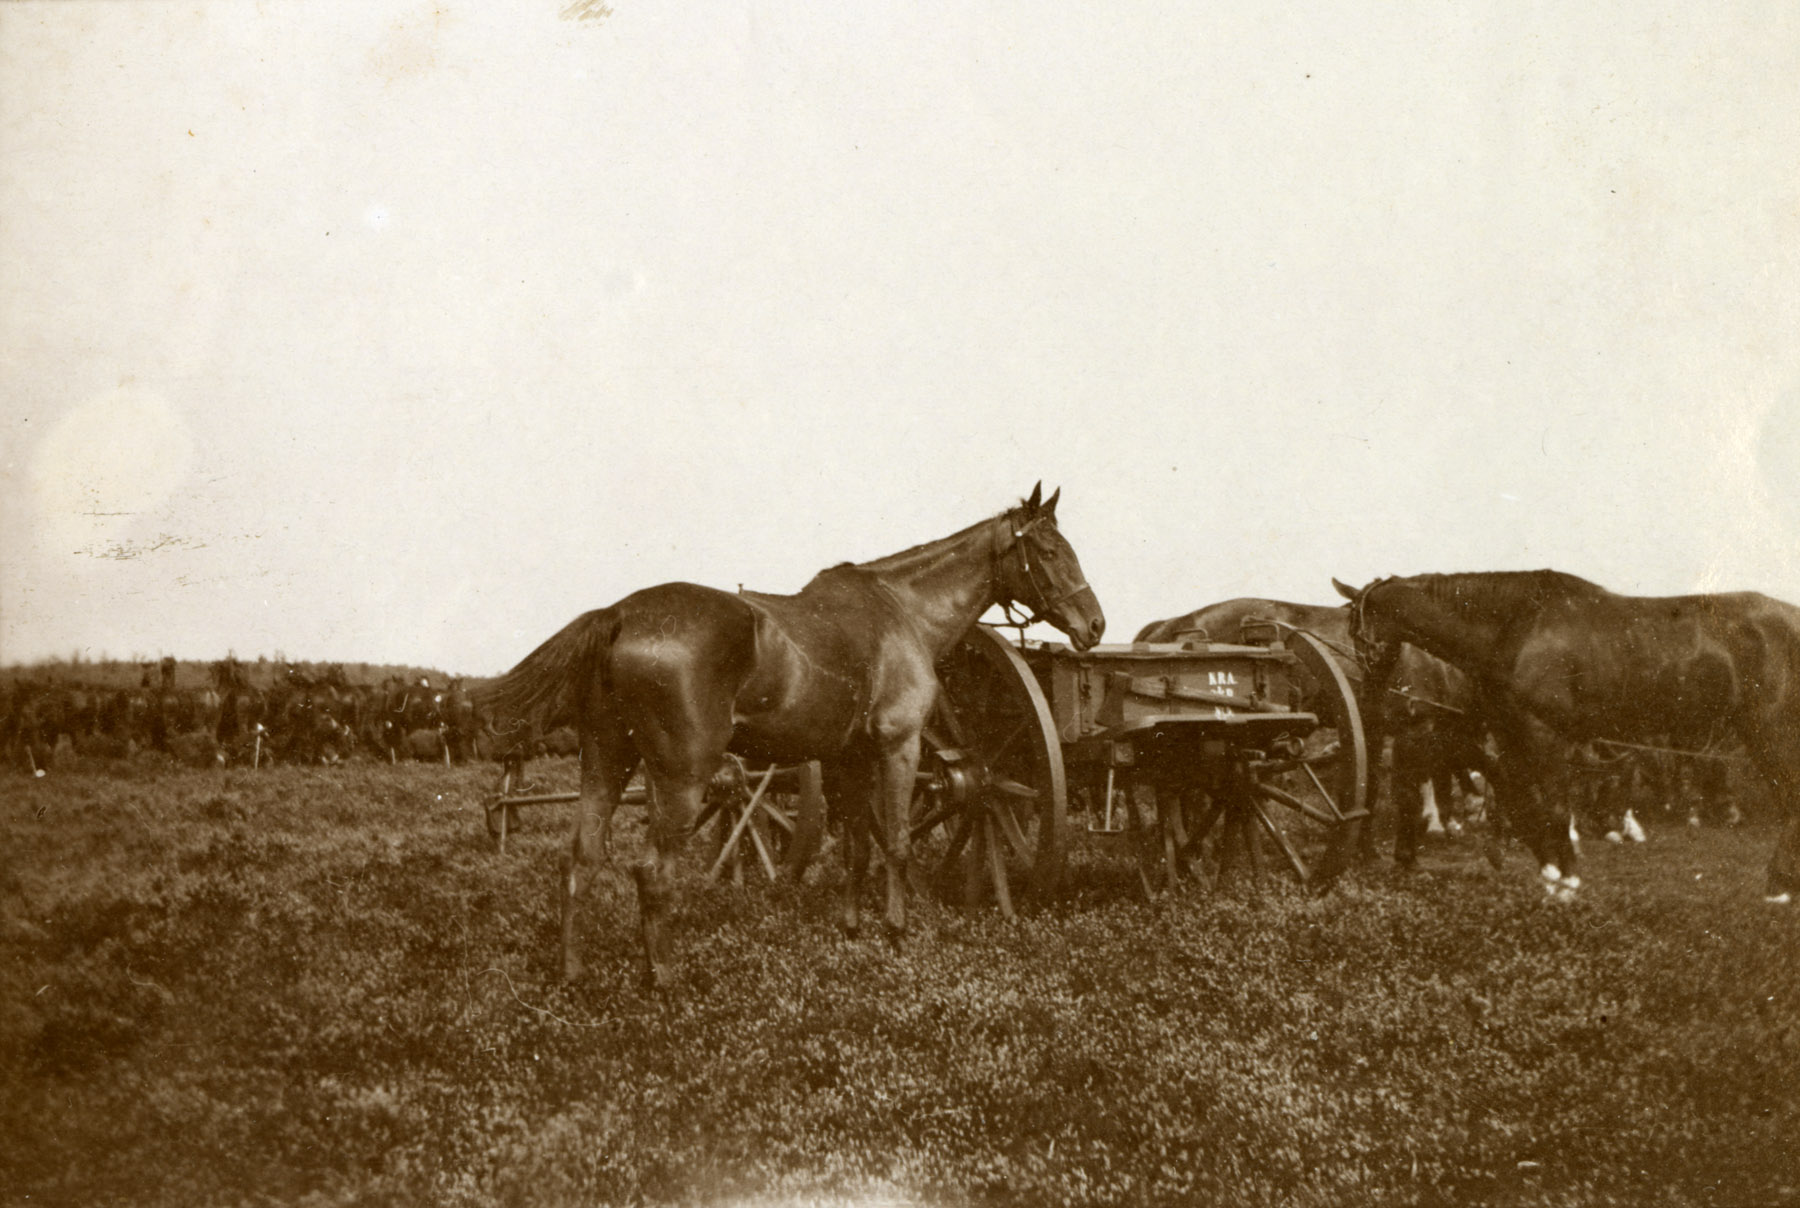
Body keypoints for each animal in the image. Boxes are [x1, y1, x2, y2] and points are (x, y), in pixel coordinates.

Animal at [478, 486, 1101, 993]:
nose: (1095, 625)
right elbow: (898, 842)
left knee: (580, 861)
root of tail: (621, 615)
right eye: (1049, 551)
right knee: (652, 873)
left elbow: (857, 850)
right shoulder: (899, 747)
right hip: (681, 777)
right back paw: (665, 979)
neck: (901, 612)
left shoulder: (849, 760)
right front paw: (897, 934)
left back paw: (574, 974)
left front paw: (853, 929)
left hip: (607, 760)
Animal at [1332, 568, 1800, 896]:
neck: (1516, 627)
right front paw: (1550, 868)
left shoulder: (1545, 736)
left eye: (1355, 629)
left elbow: (1554, 807)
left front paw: (1567, 881)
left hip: (1769, 729)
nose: (1369, 698)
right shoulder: (1510, 737)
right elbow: (1524, 805)